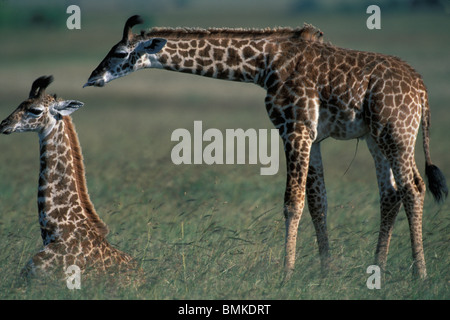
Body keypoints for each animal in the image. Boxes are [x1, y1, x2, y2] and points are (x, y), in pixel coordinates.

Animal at [83, 15, 446, 280]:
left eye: (119, 53)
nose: (91, 79)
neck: (263, 65)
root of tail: (422, 91)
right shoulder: (313, 136)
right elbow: (318, 202)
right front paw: (325, 273)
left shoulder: (295, 128)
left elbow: (292, 202)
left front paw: (286, 275)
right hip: (374, 137)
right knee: (390, 193)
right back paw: (377, 269)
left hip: (397, 132)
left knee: (413, 187)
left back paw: (421, 274)